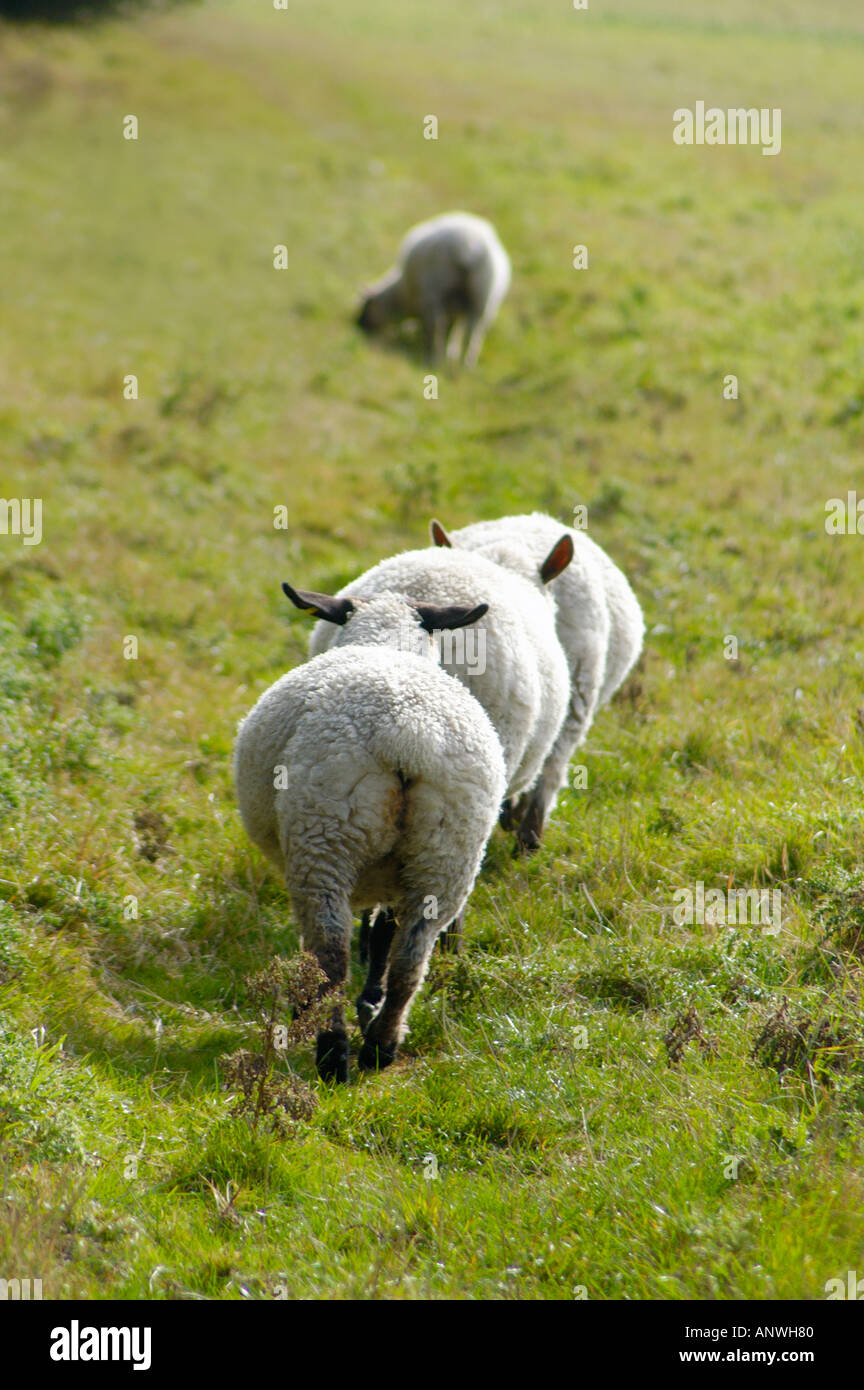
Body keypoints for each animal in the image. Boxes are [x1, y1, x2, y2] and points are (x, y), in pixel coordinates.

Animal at [234, 584, 506, 1082]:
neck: (387, 640)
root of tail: (406, 733)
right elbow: (383, 933)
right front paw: (371, 1001)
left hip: (322, 837)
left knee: (330, 952)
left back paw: (332, 1051)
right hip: (447, 852)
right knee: (410, 957)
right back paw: (381, 1045)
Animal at [356, 211, 511, 367]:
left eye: (366, 307)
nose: (359, 326)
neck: (402, 295)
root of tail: (469, 244)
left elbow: (435, 328)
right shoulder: (454, 311)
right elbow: (452, 330)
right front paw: (450, 353)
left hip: (434, 292)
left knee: (436, 327)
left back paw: (432, 358)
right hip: (482, 299)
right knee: (474, 333)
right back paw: (466, 363)